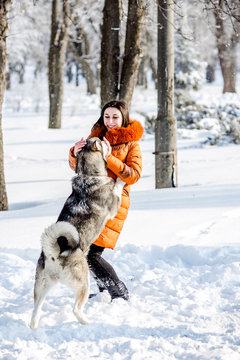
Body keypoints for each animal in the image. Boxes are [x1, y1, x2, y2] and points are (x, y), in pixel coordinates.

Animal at [29, 138, 124, 330]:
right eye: (101, 142)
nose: (105, 139)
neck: (88, 175)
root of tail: (54, 254)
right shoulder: (113, 205)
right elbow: (116, 184)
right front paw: (121, 180)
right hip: (83, 284)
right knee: (76, 309)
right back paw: (88, 322)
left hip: (42, 287)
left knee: (35, 311)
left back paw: (33, 327)